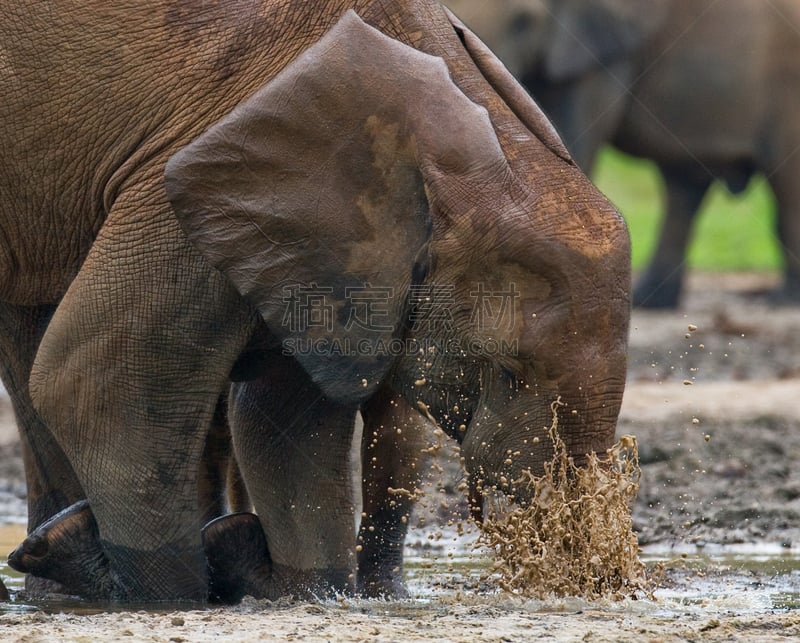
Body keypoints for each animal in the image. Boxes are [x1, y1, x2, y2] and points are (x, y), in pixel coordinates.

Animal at [0, 1, 628, 604]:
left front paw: (317, 595)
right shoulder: (181, 183)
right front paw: (168, 600)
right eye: (507, 371)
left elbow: (288, 420)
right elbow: (103, 387)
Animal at [446, 0, 800, 310]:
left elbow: (571, 134)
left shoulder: (599, 53)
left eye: (523, 22)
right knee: (685, 188)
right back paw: (651, 302)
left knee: (785, 187)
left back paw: (781, 301)